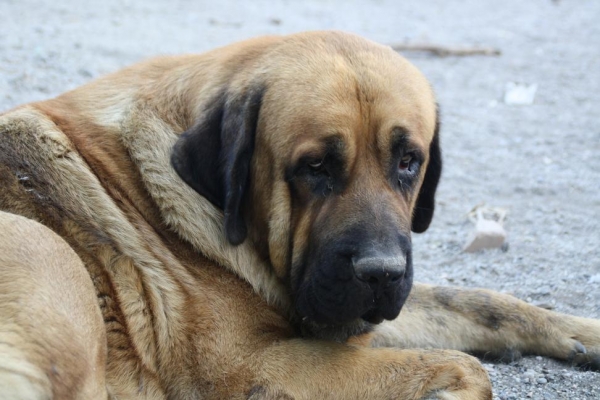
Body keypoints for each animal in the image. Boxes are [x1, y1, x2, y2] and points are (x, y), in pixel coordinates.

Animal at [1, 32, 600, 400]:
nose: (380, 272)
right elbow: (464, 366)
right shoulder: (257, 366)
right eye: (314, 167)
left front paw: (581, 333)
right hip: (47, 253)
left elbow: (478, 302)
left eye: (409, 162)